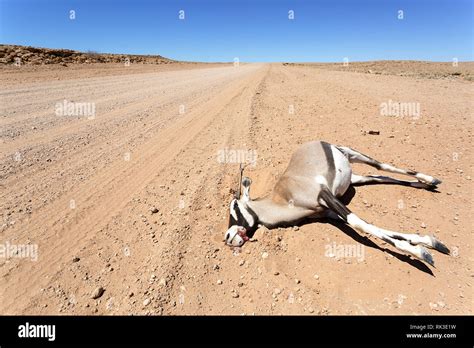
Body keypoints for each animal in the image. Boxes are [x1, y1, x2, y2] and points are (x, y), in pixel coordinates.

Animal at [224, 140, 450, 266]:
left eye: (234, 206)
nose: (227, 237)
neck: (283, 197)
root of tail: (314, 142)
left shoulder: (325, 197)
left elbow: (360, 223)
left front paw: (422, 254)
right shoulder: (329, 212)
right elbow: (374, 227)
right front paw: (430, 243)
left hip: (354, 154)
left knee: (382, 166)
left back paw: (431, 179)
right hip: (355, 177)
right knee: (380, 176)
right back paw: (426, 184)